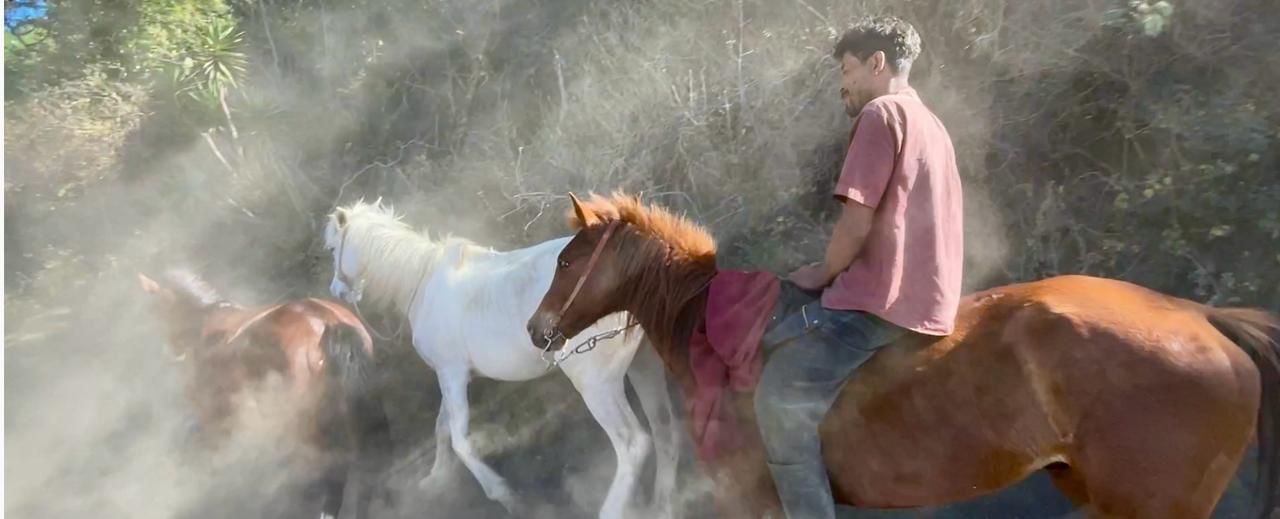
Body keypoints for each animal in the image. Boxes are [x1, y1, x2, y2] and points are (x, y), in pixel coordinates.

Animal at [322, 199, 681, 518]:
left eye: (332, 248)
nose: (336, 290)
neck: (422, 282)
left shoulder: (451, 375)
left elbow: (459, 439)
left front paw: (505, 496)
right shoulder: (452, 375)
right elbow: (442, 427)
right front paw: (436, 480)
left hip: (597, 386)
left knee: (633, 445)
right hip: (644, 366)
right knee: (665, 431)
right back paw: (661, 506)